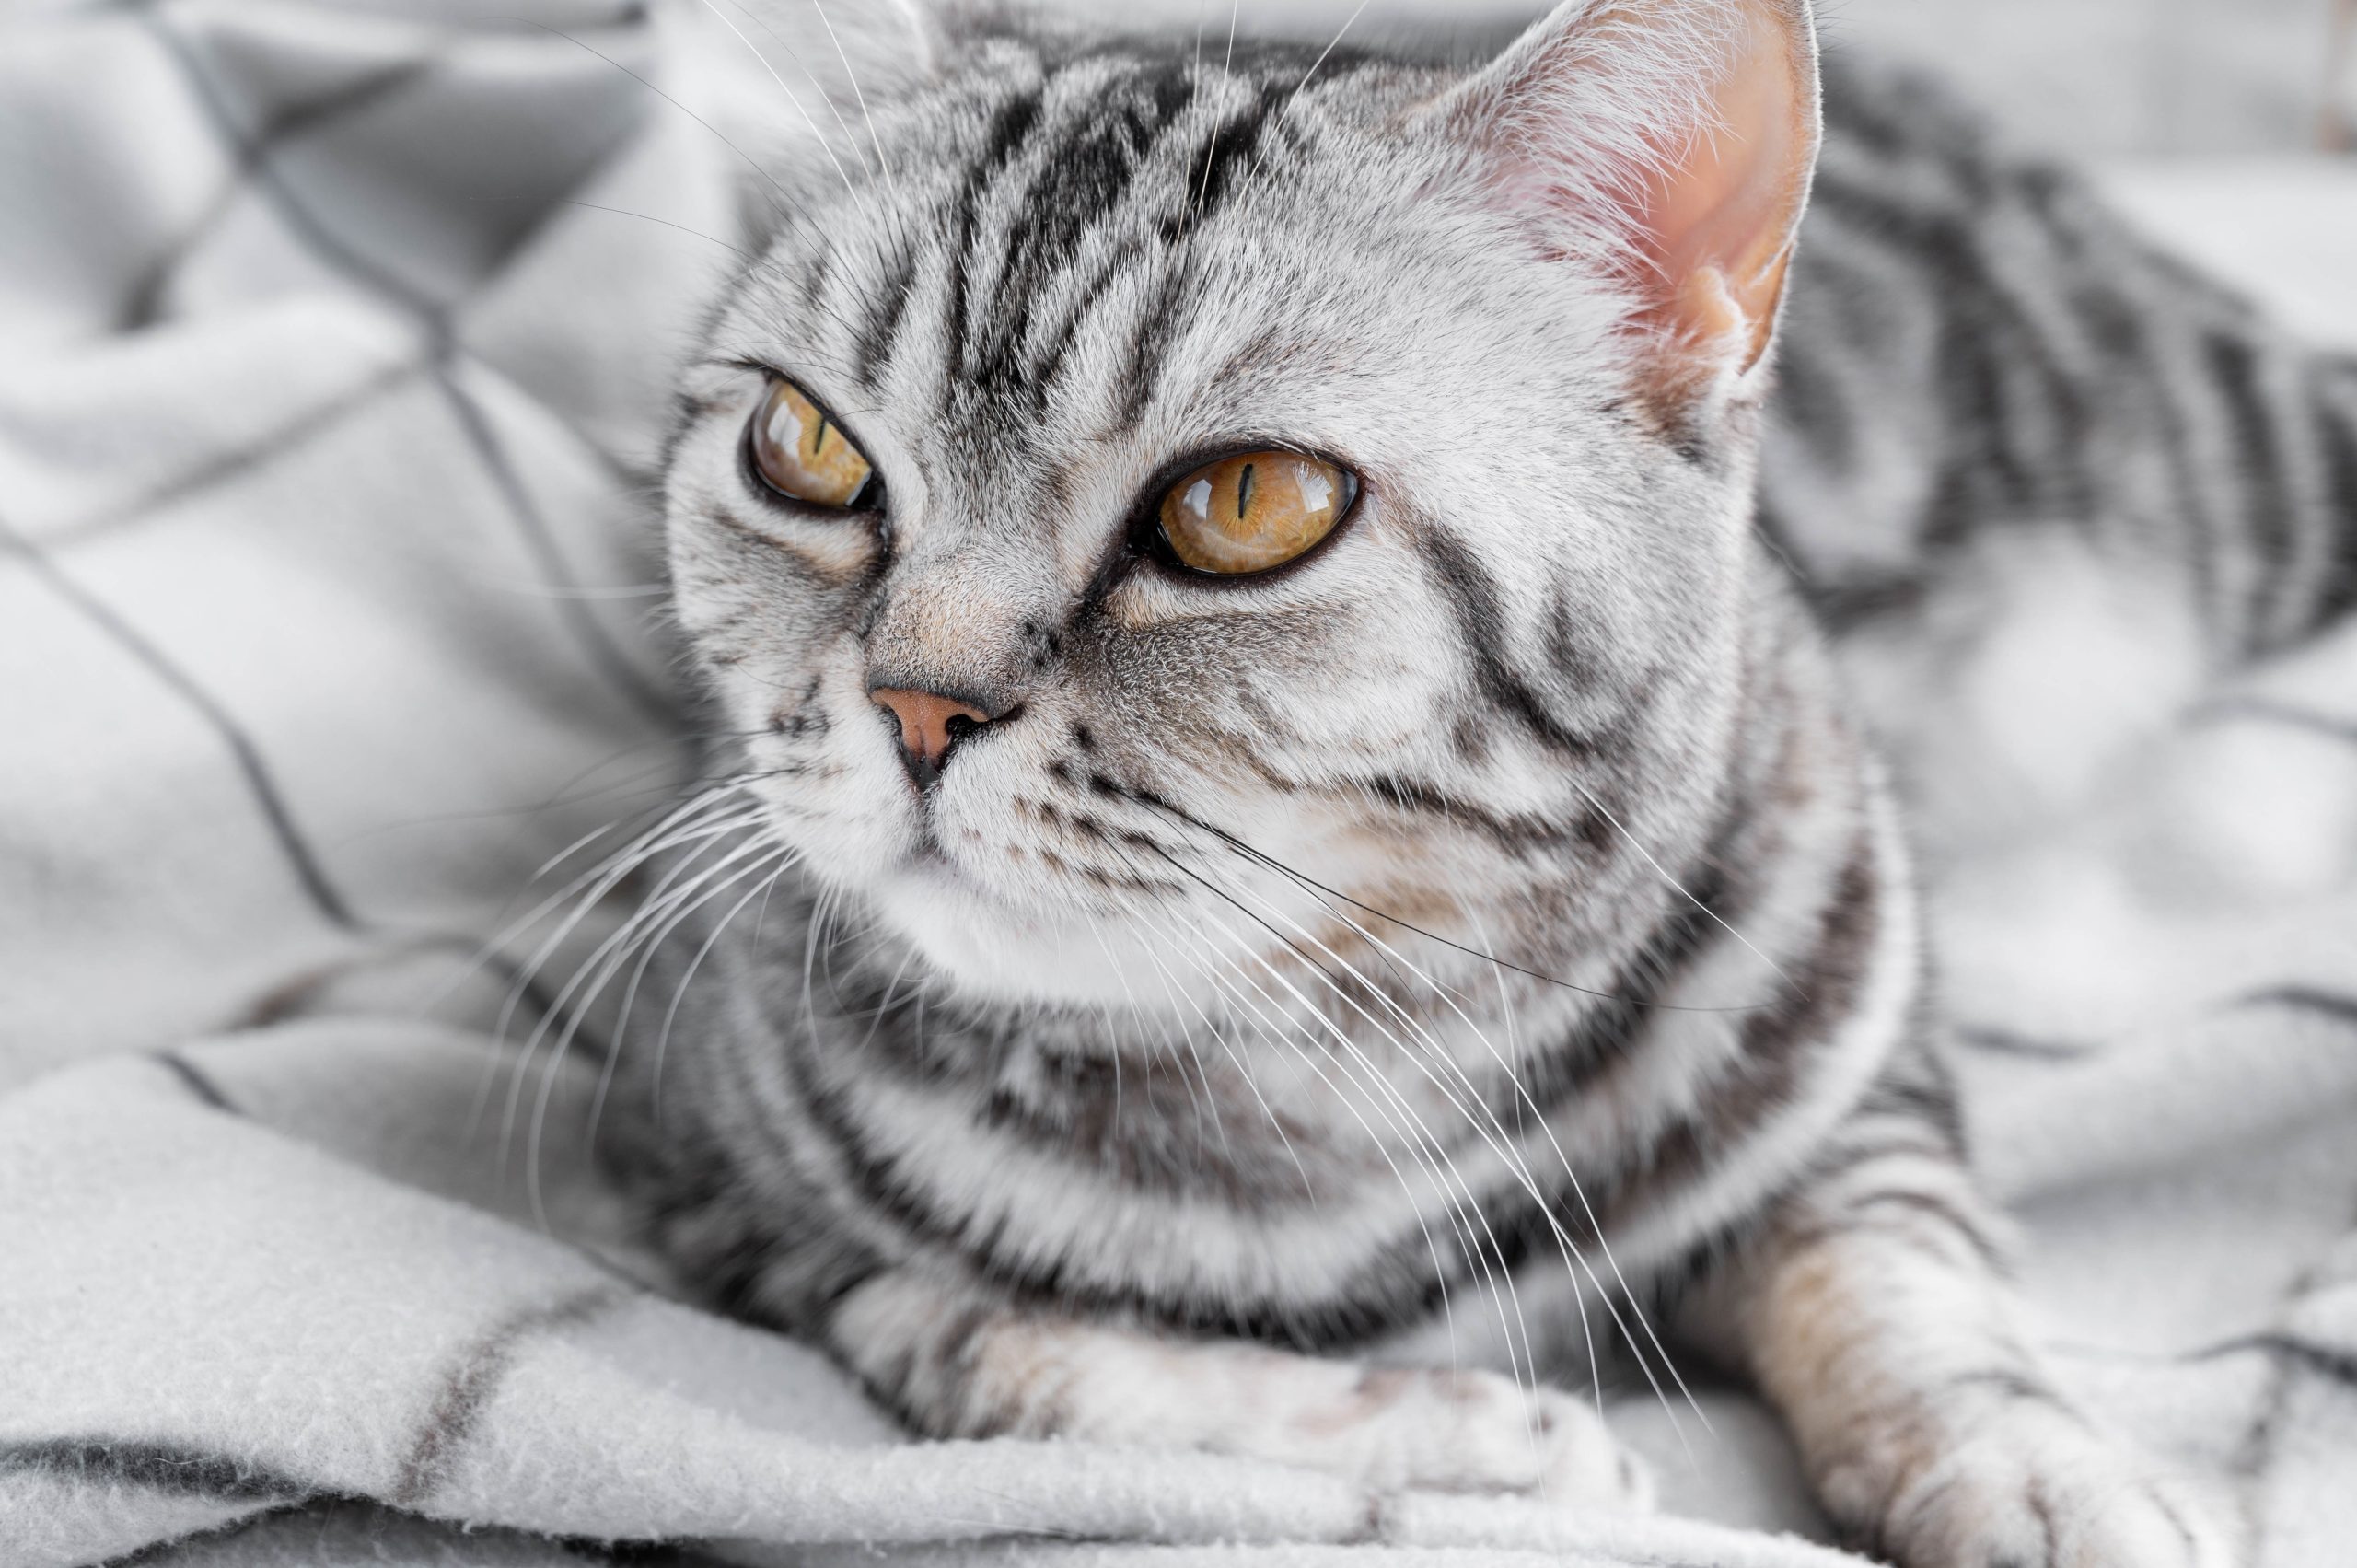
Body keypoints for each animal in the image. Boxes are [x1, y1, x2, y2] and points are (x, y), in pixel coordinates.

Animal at [594, 6, 2357, 1556]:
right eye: (805, 446)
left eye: (1248, 500)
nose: (914, 702)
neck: (1317, 1068)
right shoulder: (738, 1215)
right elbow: (1033, 1362)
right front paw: (1479, 1444)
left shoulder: (1857, 1066)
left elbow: (1914, 1290)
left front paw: (2044, 1472)